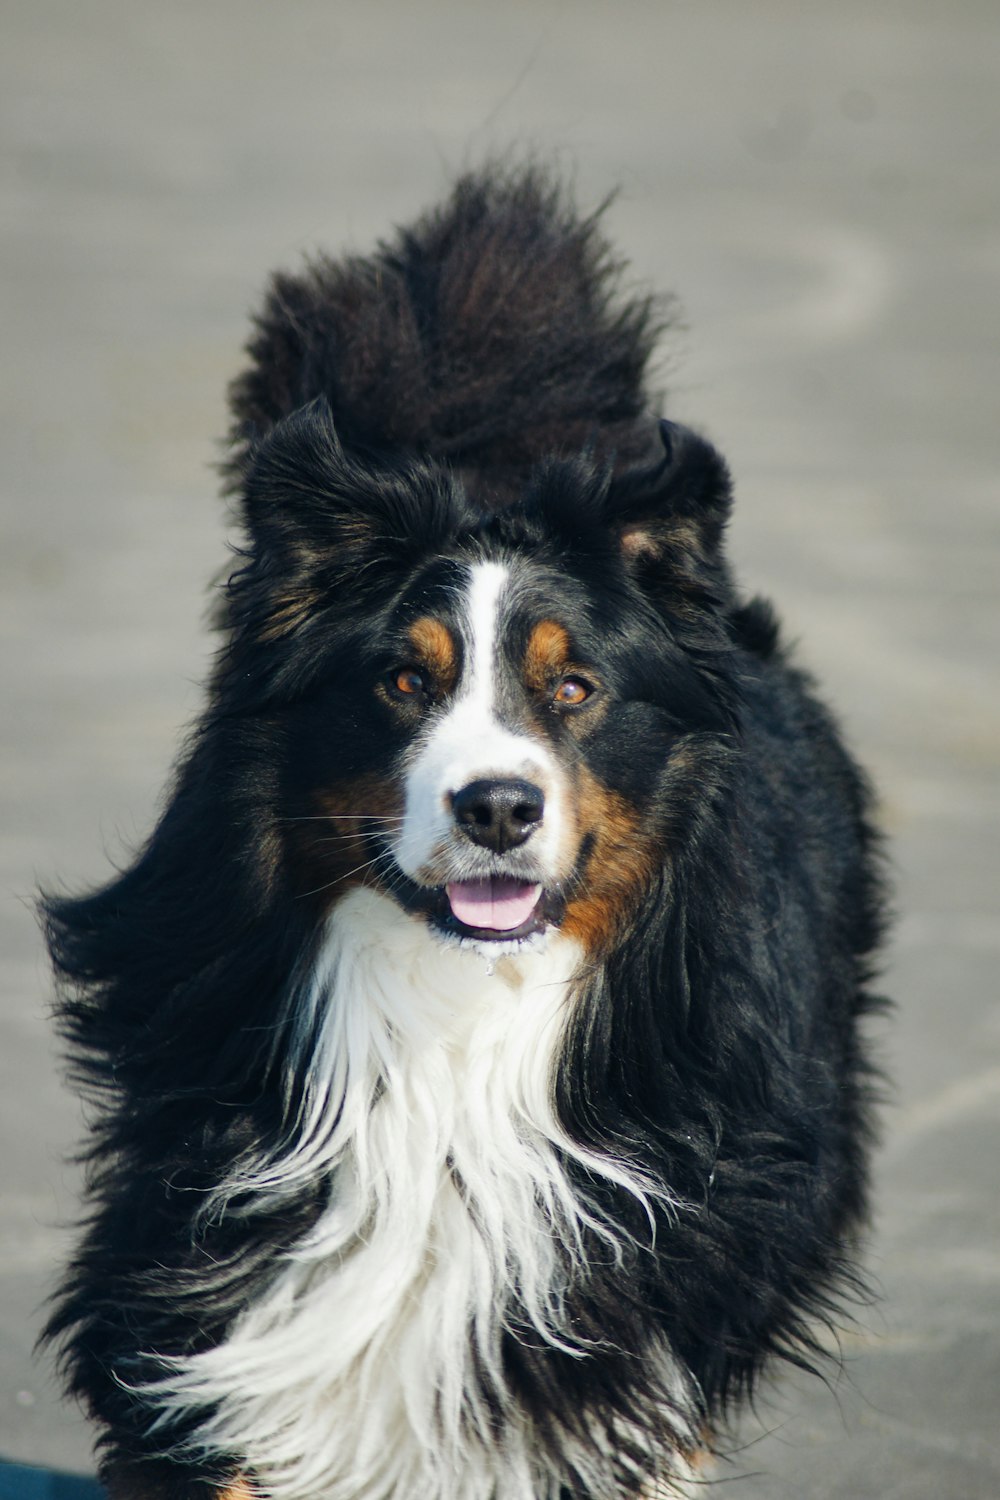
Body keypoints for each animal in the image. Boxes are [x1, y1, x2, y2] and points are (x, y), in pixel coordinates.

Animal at [41, 167, 881, 1500]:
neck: (456, 1008)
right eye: (402, 681)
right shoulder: (214, 1260)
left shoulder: (619, 1311)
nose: (496, 806)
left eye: (575, 687)